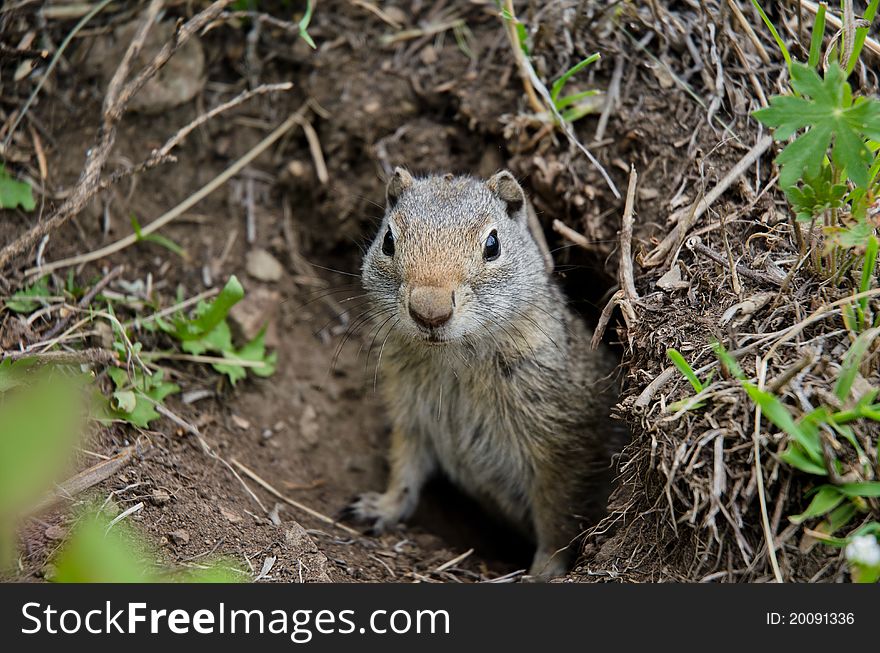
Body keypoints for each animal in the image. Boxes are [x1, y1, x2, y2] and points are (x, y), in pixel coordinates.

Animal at [344, 167, 624, 576]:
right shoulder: (410, 415)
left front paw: (544, 570)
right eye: (388, 241)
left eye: (492, 245)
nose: (430, 312)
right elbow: (405, 468)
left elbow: (557, 515)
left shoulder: (562, 448)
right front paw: (382, 506)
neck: (454, 360)